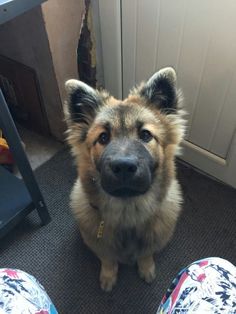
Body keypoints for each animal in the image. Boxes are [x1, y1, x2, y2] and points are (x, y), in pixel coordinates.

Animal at [63, 68, 185, 292]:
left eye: (145, 135)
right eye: (103, 137)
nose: (124, 167)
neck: (128, 214)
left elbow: (146, 254)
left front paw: (146, 268)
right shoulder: (100, 245)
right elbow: (108, 259)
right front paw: (108, 276)